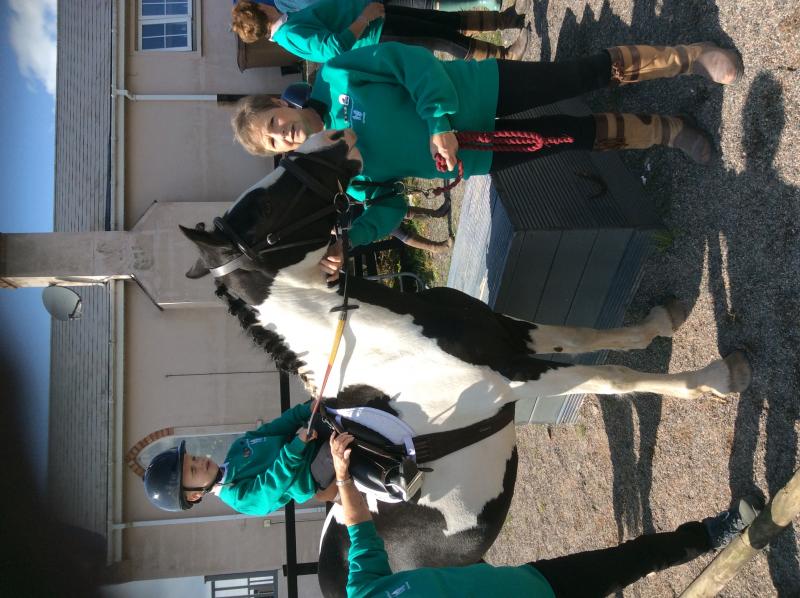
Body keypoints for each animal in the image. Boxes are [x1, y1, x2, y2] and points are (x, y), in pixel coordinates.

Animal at [181, 129, 752, 596]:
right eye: (264, 211)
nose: (337, 135)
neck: (385, 344)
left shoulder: (506, 334)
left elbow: (582, 335)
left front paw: (663, 321)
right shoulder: (514, 377)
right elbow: (613, 376)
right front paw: (717, 379)